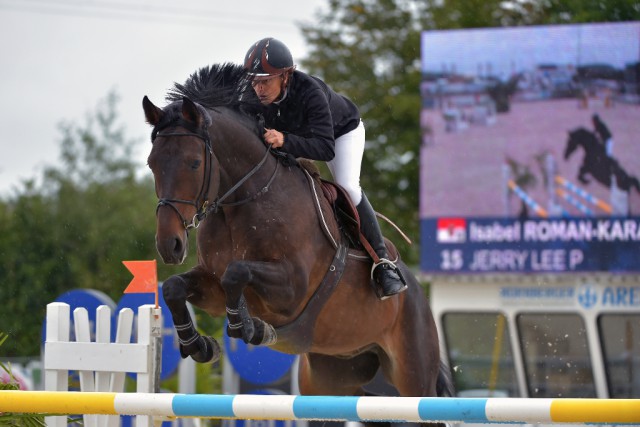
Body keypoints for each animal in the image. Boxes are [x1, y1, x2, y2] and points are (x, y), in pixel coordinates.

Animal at [142, 63, 452, 404]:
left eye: (195, 163)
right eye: (152, 164)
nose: (169, 244)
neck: (244, 200)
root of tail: (418, 292)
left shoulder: (292, 288)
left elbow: (237, 272)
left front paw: (250, 328)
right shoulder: (212, 283)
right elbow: (174, 287)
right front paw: (198, 345)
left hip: (413, 376)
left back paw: (388, 277)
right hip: (332, 377)